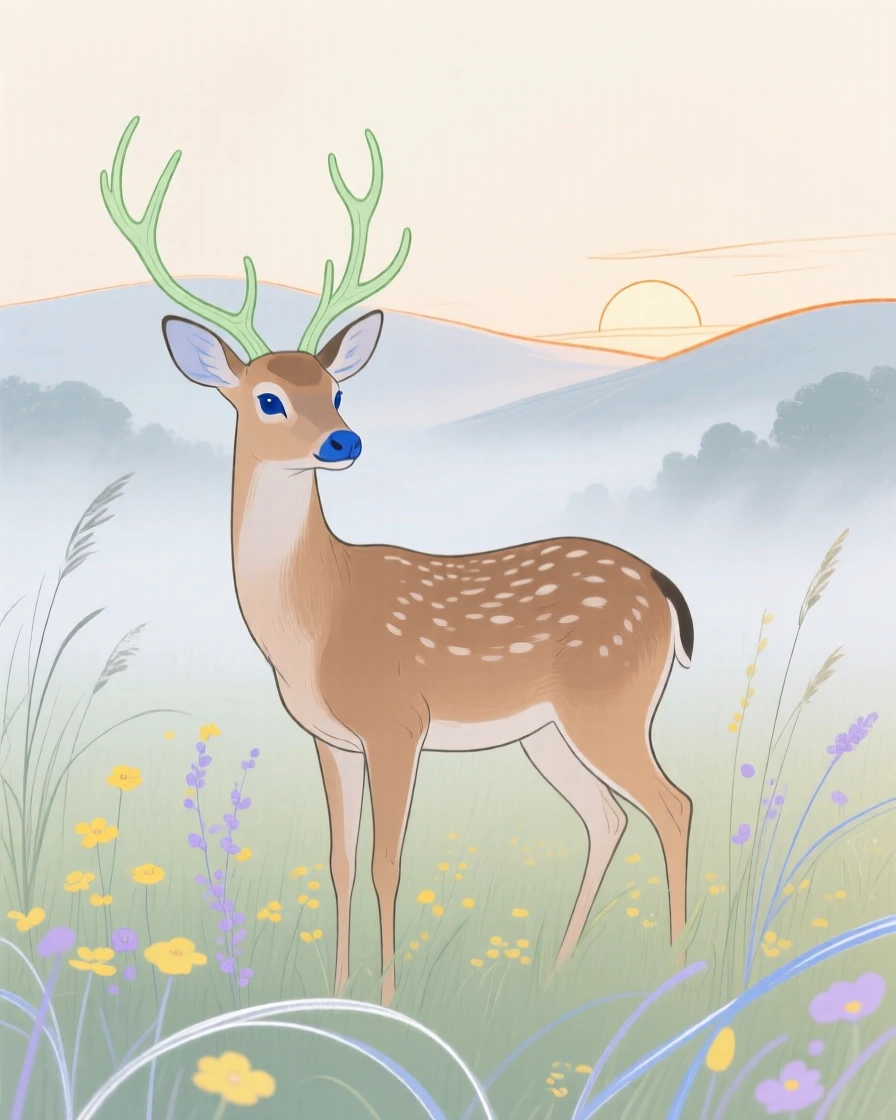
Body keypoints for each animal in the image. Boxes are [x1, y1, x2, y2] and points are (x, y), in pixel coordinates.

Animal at [101, 117, 694, 1007]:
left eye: (337, 391)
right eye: (269, 398)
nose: (342, 442)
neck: (315, 621)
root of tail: (662, 587)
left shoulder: (395, 721)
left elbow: (388, 863)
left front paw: (386, 999)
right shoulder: (329, 737)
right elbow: (340, 863)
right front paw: (340, 989)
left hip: (610, 702)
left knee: (673, 805)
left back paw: (684, 968)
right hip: (548, 732)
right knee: (610, 816)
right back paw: (558, 975)